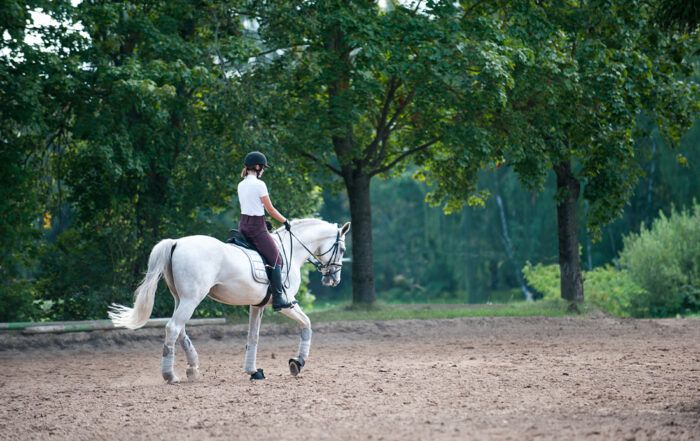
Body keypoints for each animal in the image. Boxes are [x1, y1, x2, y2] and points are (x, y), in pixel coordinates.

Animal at [108, 218, 350, 383]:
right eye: (342, 249)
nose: (334, 279)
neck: (292, 250)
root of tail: (176, 243)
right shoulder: (286, 304)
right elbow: (306, 324)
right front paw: (297, 363)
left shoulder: (257, 305)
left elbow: (253, 336)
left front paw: (253, 371)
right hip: (191, 299)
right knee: (173, 327)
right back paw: (170, 375)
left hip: (181, 298)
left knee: (180, 329)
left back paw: (193, 368)